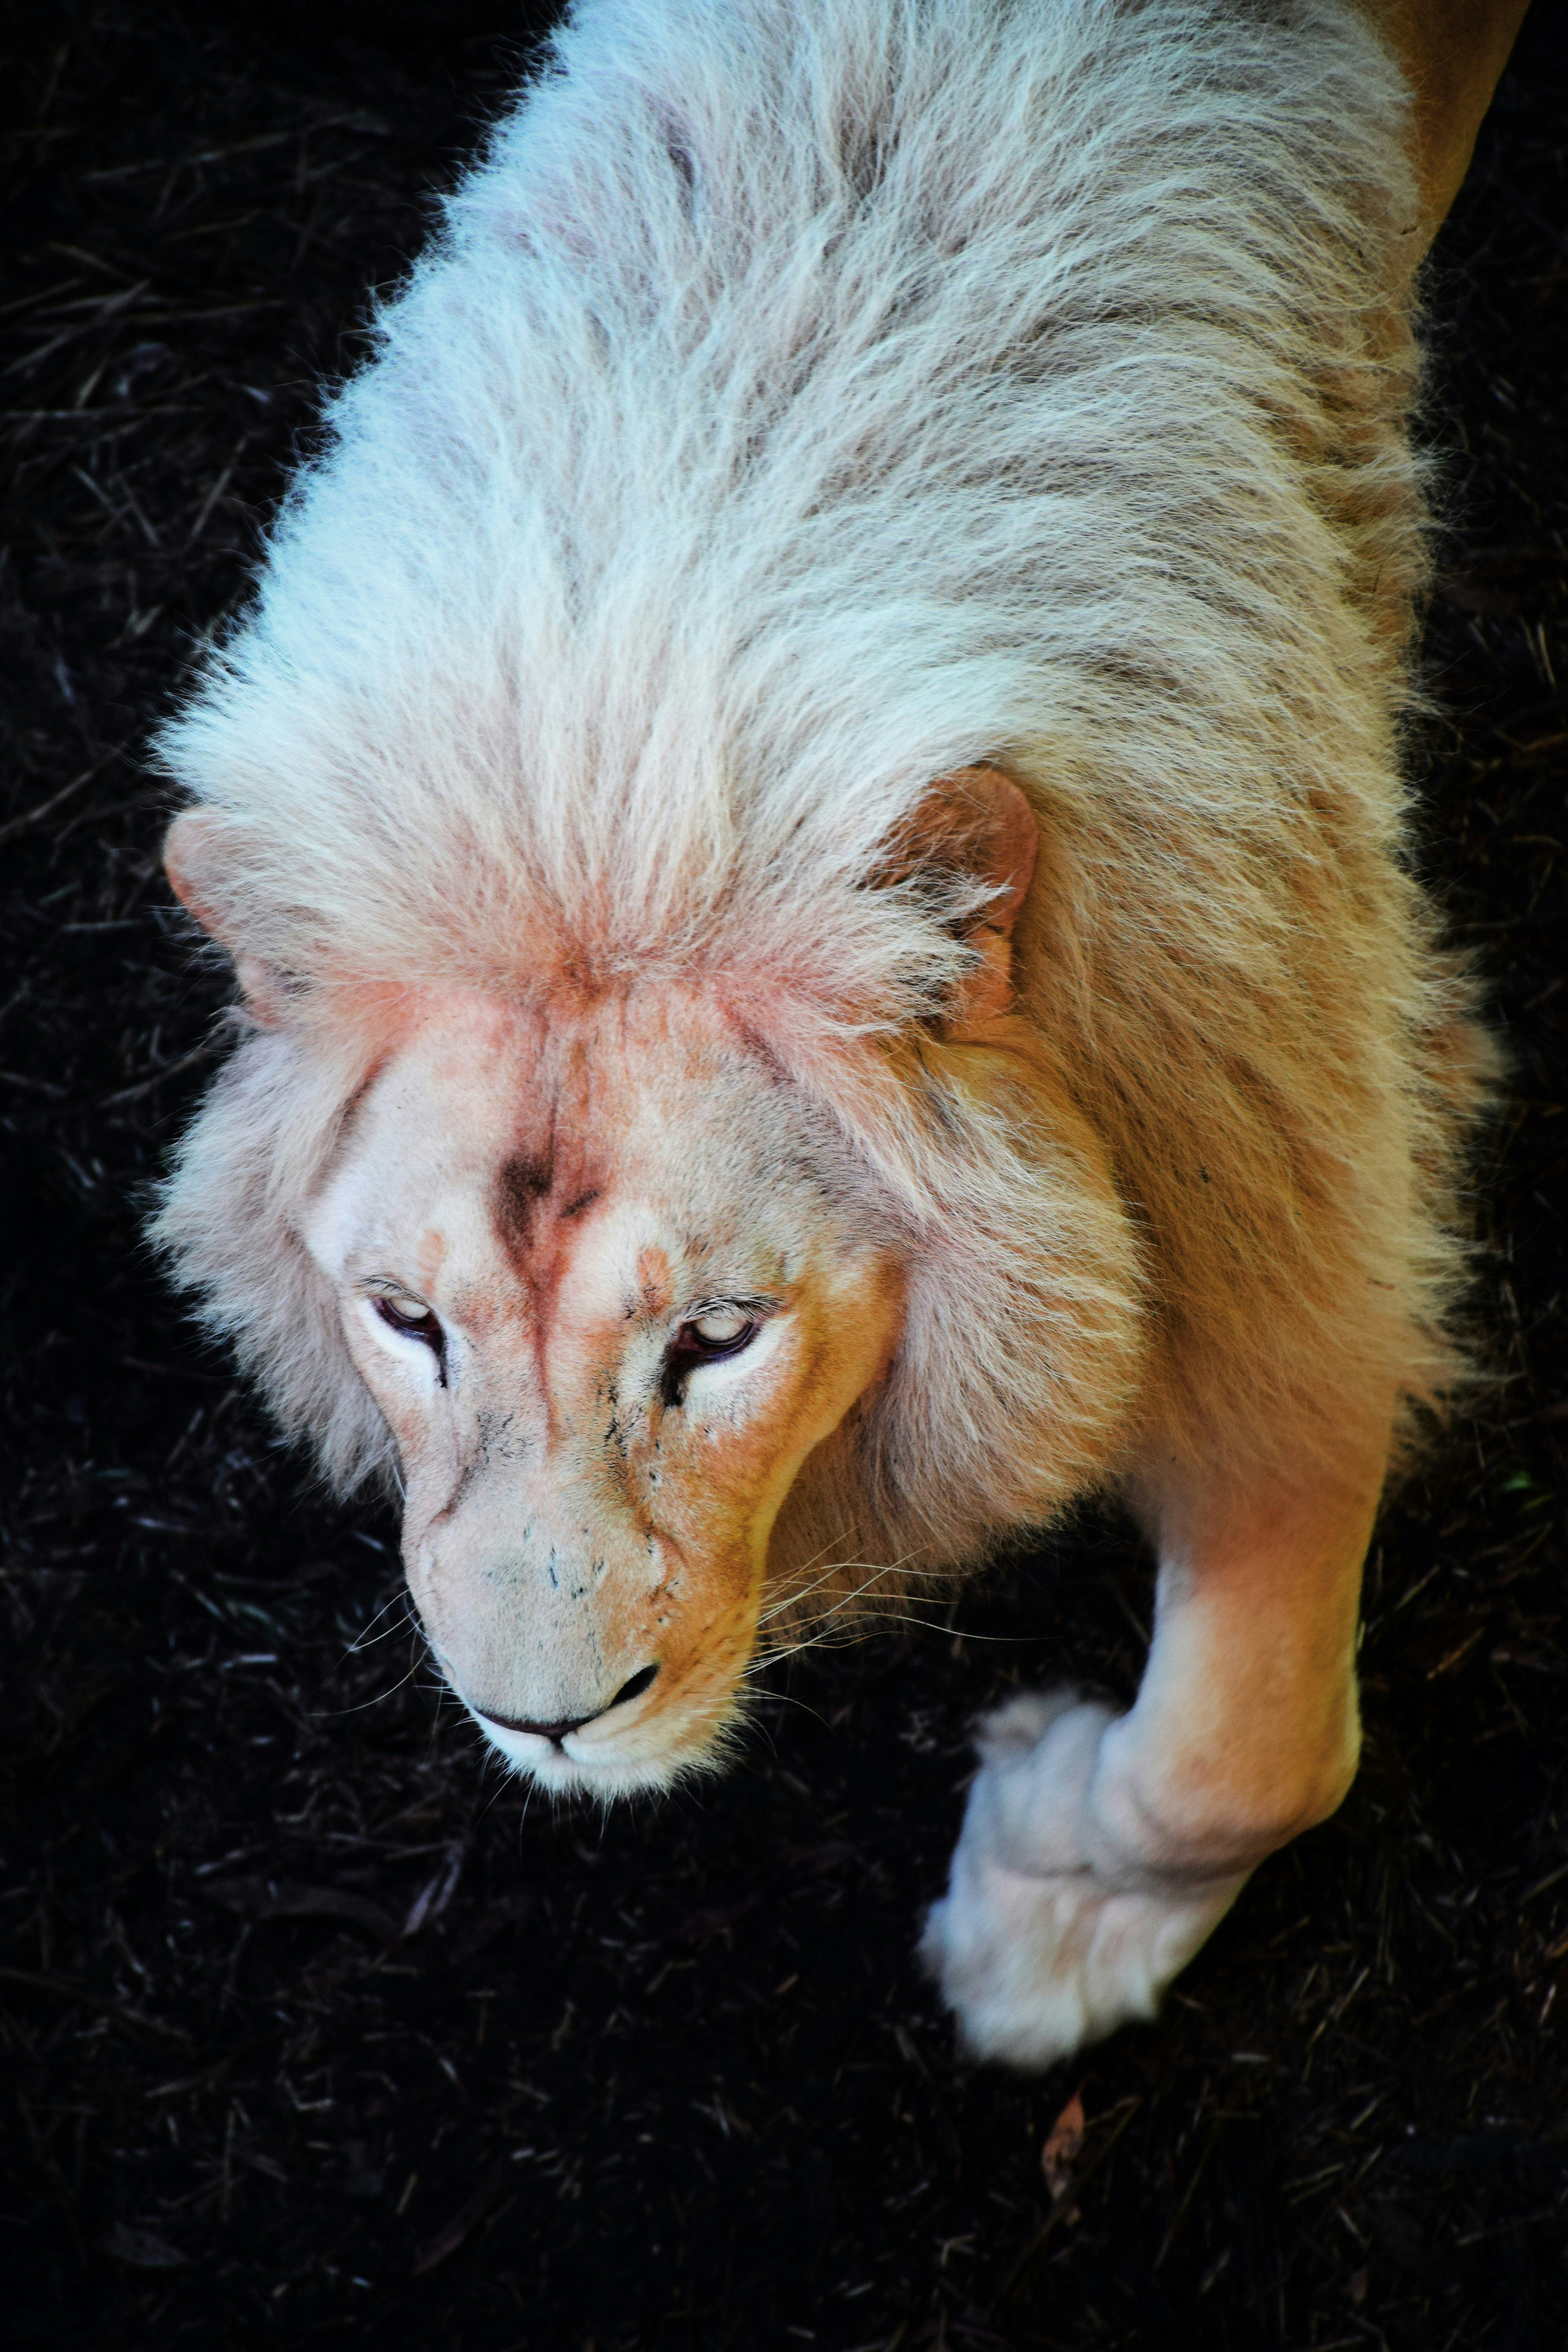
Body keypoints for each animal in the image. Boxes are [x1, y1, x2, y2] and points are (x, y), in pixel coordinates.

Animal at [154, 0, 1527, 2068]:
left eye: (718, 1341)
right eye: (404, 1322)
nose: (549, 1719)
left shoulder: (1278, 1175)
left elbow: (1242, 1750)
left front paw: (1042, 1909)